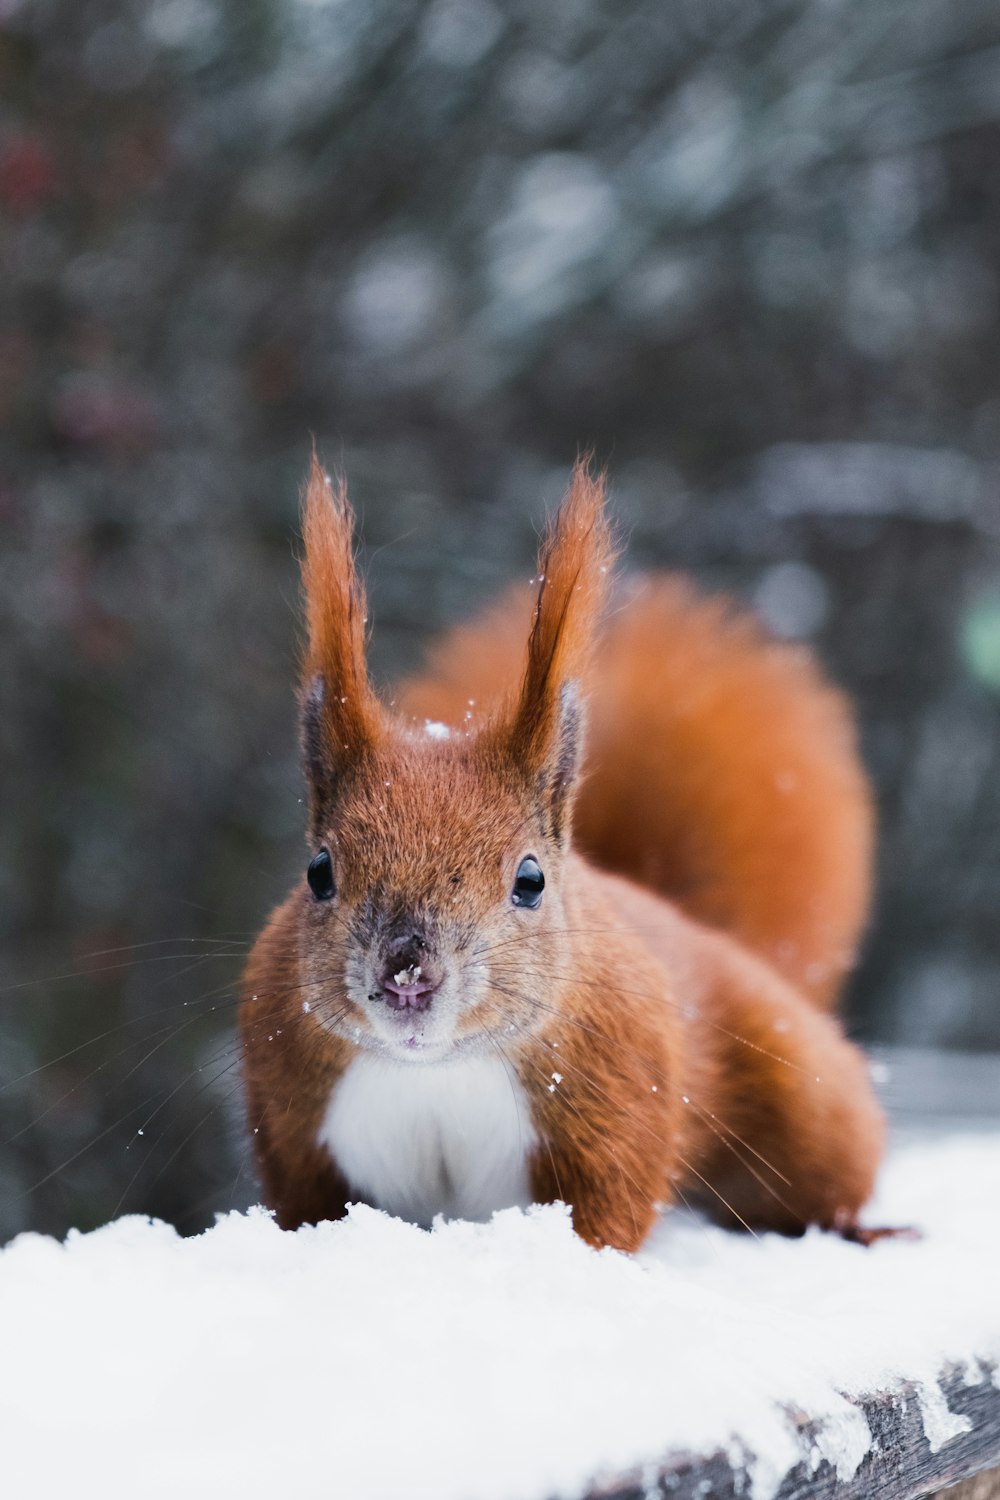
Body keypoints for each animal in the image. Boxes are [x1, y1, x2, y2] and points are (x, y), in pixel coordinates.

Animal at [238, 456, 887, 1254]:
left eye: (530, 880)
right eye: (319, 873)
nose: (408, 977)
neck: (436, 1069)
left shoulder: (619, 1102)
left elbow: (609, 1211)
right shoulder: (292, 1128)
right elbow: (304, 1205)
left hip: (805, 1100)